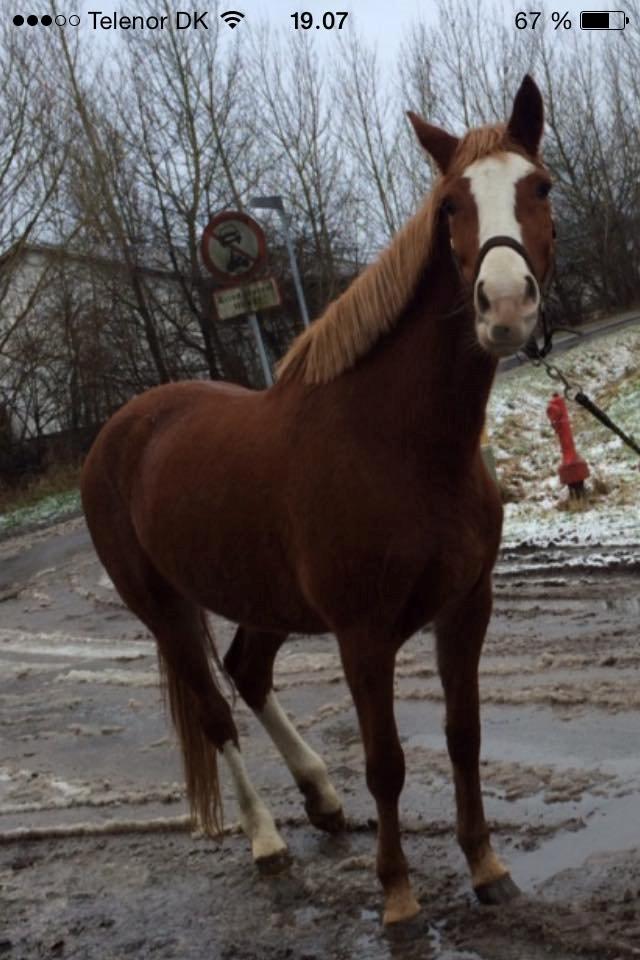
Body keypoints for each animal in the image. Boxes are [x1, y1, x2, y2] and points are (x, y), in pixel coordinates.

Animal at [82, 75, 556, 924]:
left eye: (541, 186)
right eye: (450, 206)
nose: (504, 307)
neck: (401, 445)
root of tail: (118, 433)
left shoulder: (467, 606)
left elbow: (463, 735)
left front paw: (485, 865)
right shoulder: (362, 635)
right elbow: (388, 761)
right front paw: (397, 895)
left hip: (261, 597)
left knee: (247, 671)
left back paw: (321, 797)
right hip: (164, 610)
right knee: (212, 709)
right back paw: (267, 840)